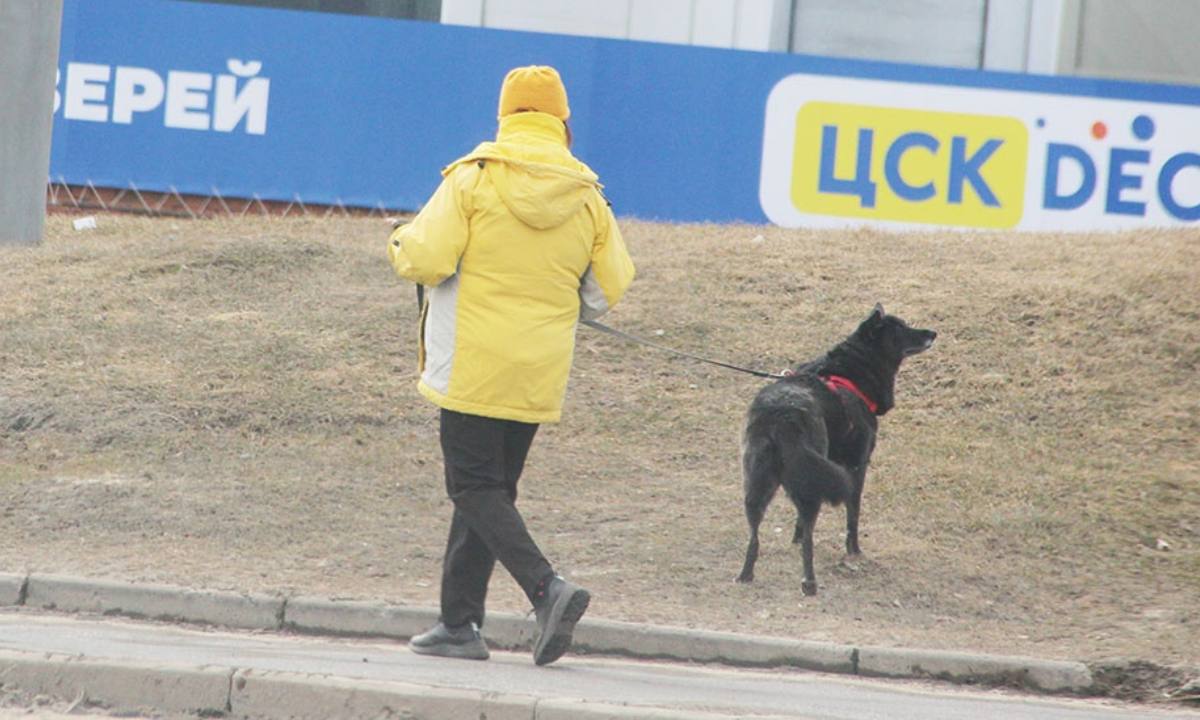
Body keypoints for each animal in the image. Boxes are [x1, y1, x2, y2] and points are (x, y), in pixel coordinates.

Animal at [729, 306, 936, 592]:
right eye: (901, 328)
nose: (933, 333)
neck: (848, 373)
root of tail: (781, 416)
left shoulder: (818, 471)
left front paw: (793, 538)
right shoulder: (856, 466)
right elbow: (853, 515)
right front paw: (854, 550)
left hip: (758, 485)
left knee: (755, 537)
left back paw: (746, 575)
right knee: (808, 540)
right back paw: (809, 583)